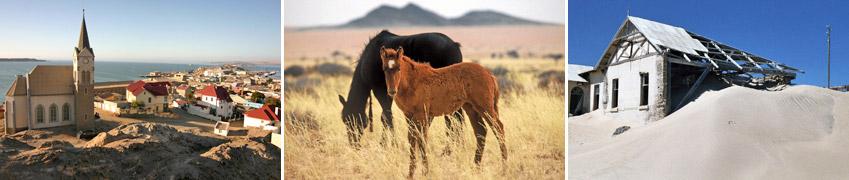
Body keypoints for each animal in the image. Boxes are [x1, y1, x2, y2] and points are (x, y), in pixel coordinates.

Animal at [336, 30, 464, 146]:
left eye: (350, 120)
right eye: (344, 120)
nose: (353, 143)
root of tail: (454, 45)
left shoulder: (380, 91)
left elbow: (386, 117)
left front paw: (390, 144)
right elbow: (385, 116)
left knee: (453, 119)